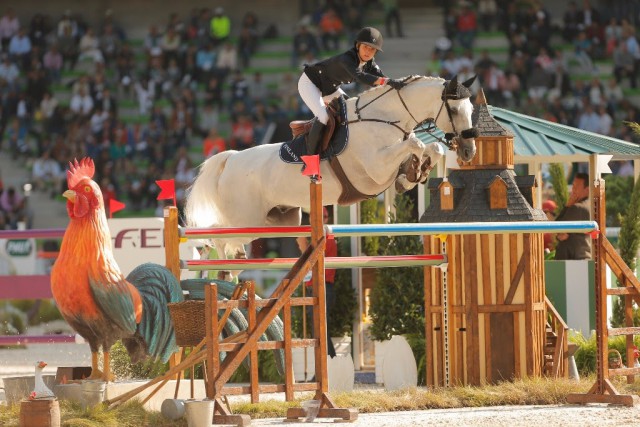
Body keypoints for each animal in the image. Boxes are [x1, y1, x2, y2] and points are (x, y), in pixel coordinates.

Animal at [185, 75, 476, 260]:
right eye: (454, 109)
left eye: (471, 108)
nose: (468, 151)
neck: (385, 118)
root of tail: (231, 159)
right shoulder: (376, 169)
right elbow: (415, 143)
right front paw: (412, 174)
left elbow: (431, 148)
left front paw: (414, 174)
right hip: (247, 219)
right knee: (216, 234)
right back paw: (225, 271)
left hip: (278, 221)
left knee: (229, 237)